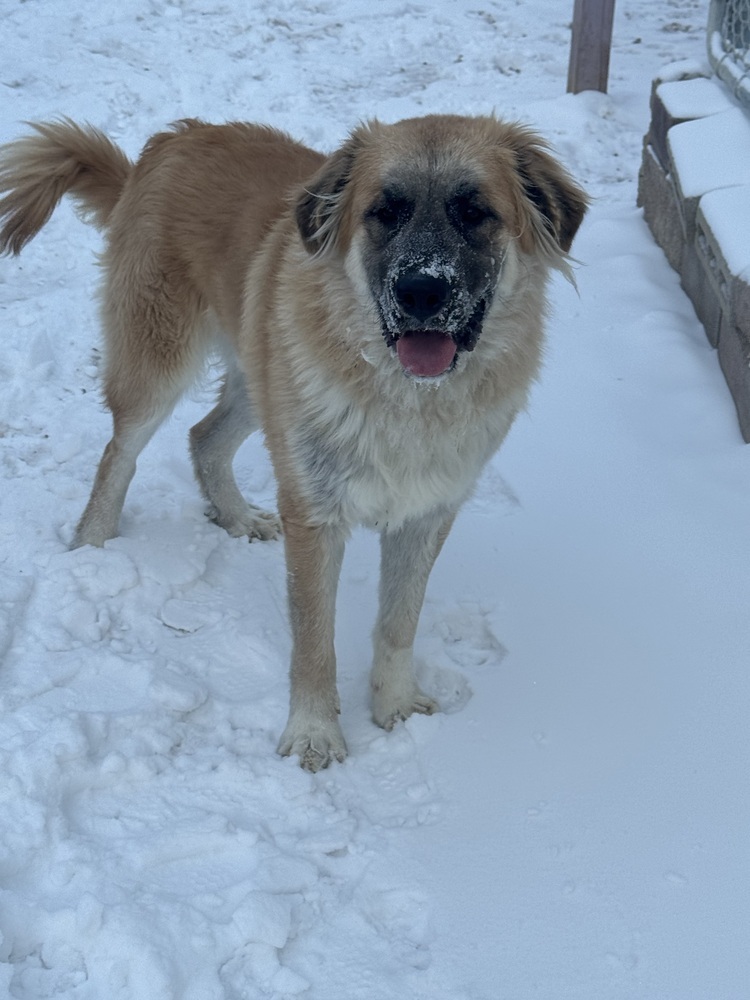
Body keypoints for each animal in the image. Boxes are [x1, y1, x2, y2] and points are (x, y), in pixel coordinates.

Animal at [0, 113, 588, 768]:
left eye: (475, 211)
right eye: (385, 211)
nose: (421, 292)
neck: (405, 399)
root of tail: (173, 139)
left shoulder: (426, 513)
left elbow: (398, 622)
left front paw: (395, 707)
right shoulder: (315, 512)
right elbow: (313, 640)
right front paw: (314, 733)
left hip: (260, 379)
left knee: (204, 437)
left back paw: (235, 517)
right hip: (161, 361)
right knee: (119, 453)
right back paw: (94, 545)